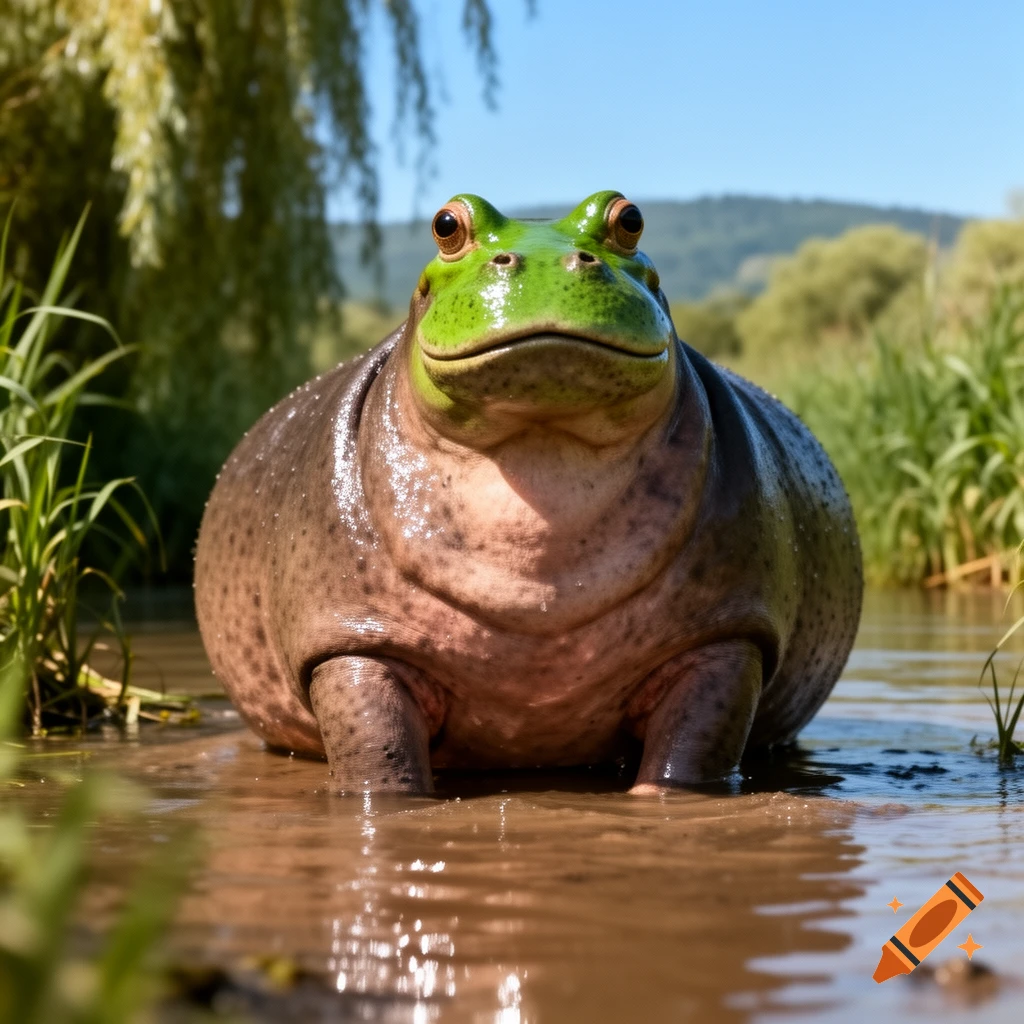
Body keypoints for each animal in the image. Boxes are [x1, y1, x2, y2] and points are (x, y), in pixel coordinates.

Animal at [194, 192, 862, 794]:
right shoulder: (351, 641)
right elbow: (376, 755)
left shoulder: (725, 637)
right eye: (446, 225)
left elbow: (692, 753)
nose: (550, 264)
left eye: (629, 219)